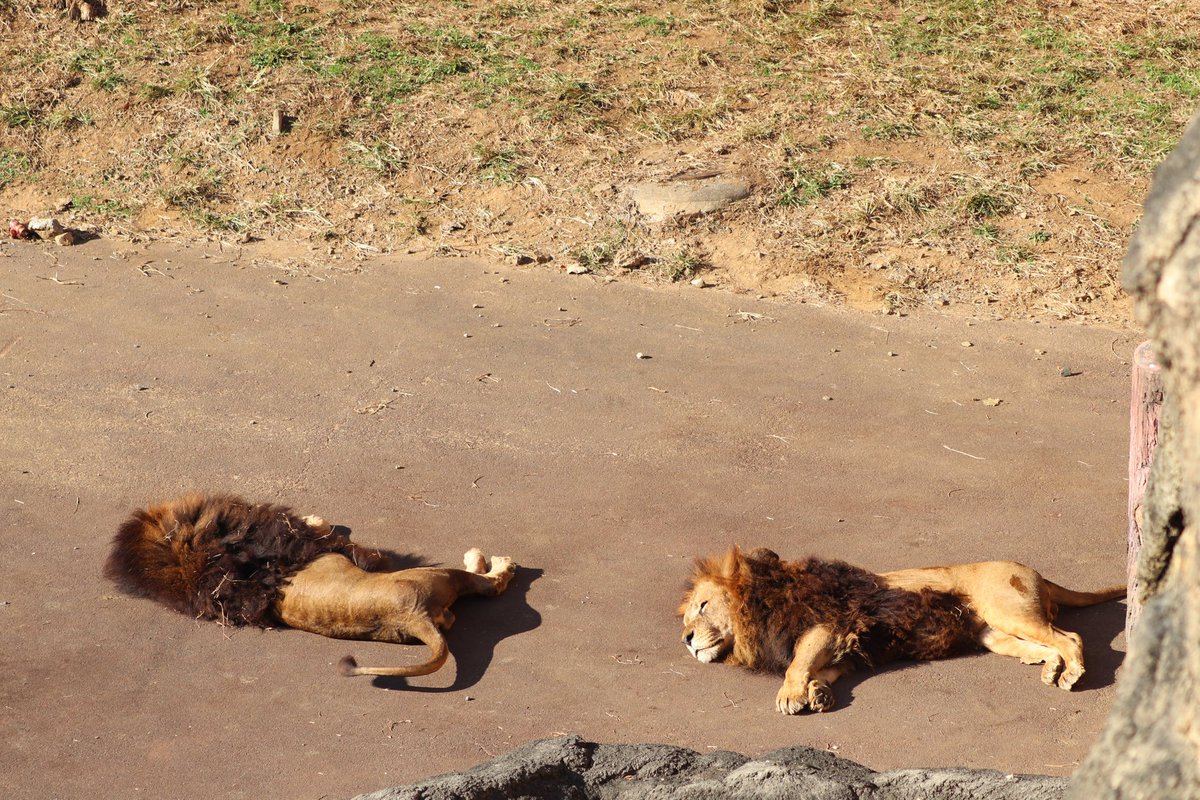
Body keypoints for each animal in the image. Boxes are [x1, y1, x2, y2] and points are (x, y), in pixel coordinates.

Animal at [103, 494, 516, 676]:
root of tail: (413, 618)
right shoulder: (327, 545)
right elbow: (331, 531)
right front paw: (319, 517)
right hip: (436, 576)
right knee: (487, 585)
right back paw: (494, 562)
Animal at [686, 546, 1123, 714]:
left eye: (702, 607)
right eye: (687, 619)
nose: (686, 640)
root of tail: (1037, 573)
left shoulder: (828, 624)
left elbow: (798, 662)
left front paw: (791, 695)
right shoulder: (846, 645)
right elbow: (820, 669)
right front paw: (819, 692)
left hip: (1007, 610)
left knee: (1071, 638)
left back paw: (1072, 674)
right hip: (995, 634)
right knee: (1045, 645)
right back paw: (1050, 668)